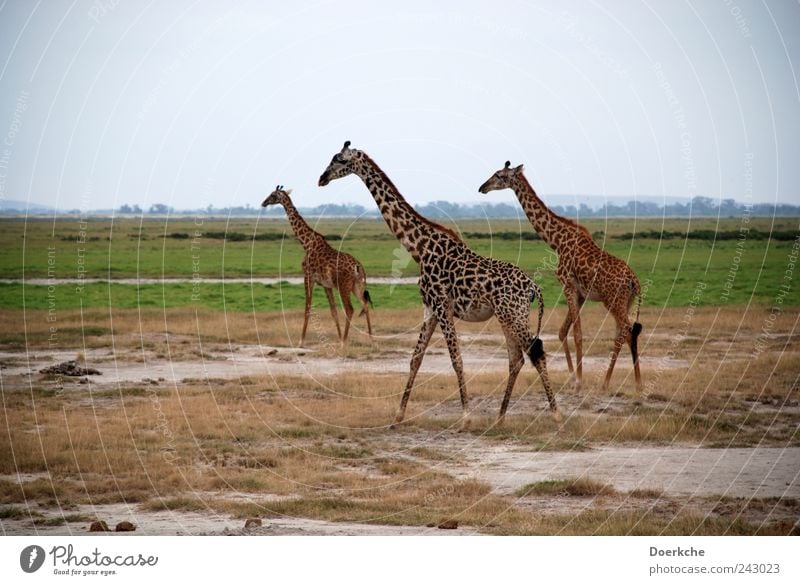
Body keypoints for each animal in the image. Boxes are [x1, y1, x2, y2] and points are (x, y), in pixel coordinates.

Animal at [262, 185, 376, 344]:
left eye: (273, 195)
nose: (263, 203)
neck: (306, 243)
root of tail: (358, 267)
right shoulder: (326, 285)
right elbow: (333, 311)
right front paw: (338, 336)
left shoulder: (308, 277)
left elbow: (307, 308)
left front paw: (301, 341)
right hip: (356, 285)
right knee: (364, 304)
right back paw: (371, 340)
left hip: (344, 285)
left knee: (350, 309)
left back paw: (344, 342)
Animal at [316, 141, 560, 424]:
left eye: (341, 160)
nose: (321, 178)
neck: (419, 249)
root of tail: (534, 288)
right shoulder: (430, 309)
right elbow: (415, 358)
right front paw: (399, 414)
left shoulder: (443, 306)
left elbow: (456, 359)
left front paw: (466, 415)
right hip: (507, 315)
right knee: (516, 358)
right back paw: (500, 417)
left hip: (514, 314)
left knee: (535, 352)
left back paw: (556, 414)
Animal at [478, 163, 640, 392]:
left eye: (499, 175)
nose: (482, 187)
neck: (557, 241)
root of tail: (635, 282)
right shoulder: (580, 293)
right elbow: (564, 331)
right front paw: (572, 377)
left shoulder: (568, 284)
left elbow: (577, 333)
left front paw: (579, 380)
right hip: (625, 301)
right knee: (624, 331)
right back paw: (629, 382)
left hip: (613, 300)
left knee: (626, 329)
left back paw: (616, 381)